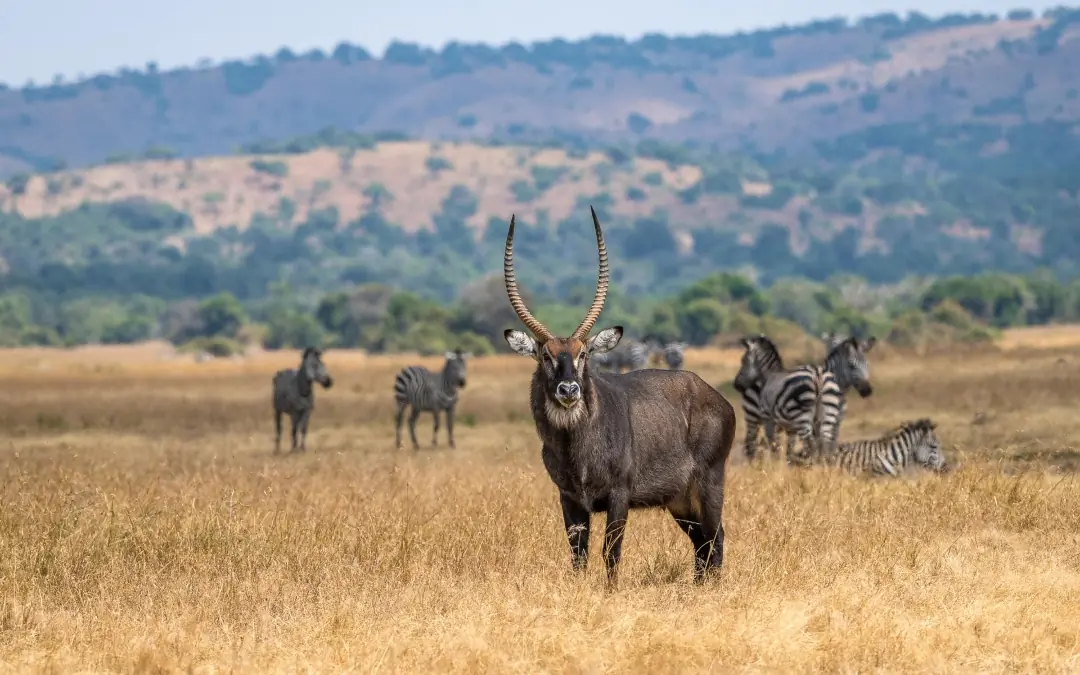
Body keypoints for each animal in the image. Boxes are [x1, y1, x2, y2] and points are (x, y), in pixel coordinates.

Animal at [502, 207, 737, 585]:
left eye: (584, 354)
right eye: (545, 356)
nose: (569, 389)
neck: (576, 445)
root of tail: (717, 398)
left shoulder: (618, 495)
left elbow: (611, 553)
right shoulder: (569, 498)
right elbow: (578, 556)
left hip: (709, 484)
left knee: (716, 538)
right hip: (679, 500)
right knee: (702, 543)